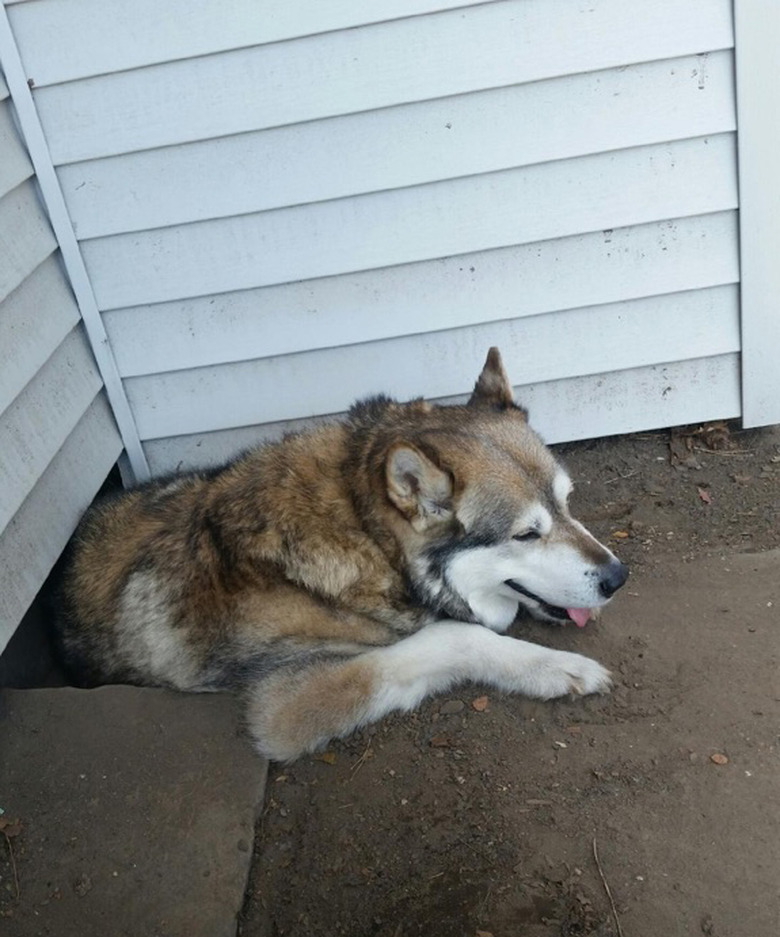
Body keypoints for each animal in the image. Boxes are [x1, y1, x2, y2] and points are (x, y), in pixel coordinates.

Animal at [58, 348, 628, 756]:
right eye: (526, 535)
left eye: (567, 502)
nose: (617, 578)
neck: (366, 538)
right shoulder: (284, 704)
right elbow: (455, 635)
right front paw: (556, 668)